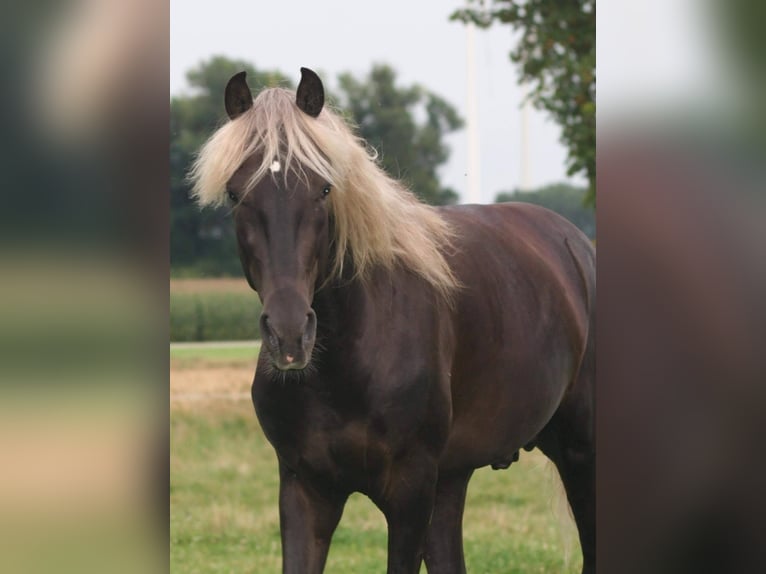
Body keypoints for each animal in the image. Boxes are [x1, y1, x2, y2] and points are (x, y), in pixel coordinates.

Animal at [190, 67, 595, 574]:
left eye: (324, 189)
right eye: (236, 193)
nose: (289, 335)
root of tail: (578, 246)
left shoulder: (410, 492)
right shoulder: (305, 489)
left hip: (580, 453)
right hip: (453, 479)